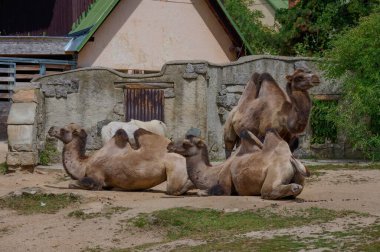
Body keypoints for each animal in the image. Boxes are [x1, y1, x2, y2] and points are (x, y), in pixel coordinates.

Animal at [48, 123, 193, 194]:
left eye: (63, 130)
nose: (50, 129)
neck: (84, 164)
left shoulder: (96, 177)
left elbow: (72, 183)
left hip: (176, 168)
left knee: (173, 189)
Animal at [168, 130, 308, 199]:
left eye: (186, 143)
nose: (169, 145)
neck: (213, 173)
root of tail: (290, 160)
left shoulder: (224, 185)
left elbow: (202, 192)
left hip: (275, 172)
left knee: (268, 191)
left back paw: (294, 187)